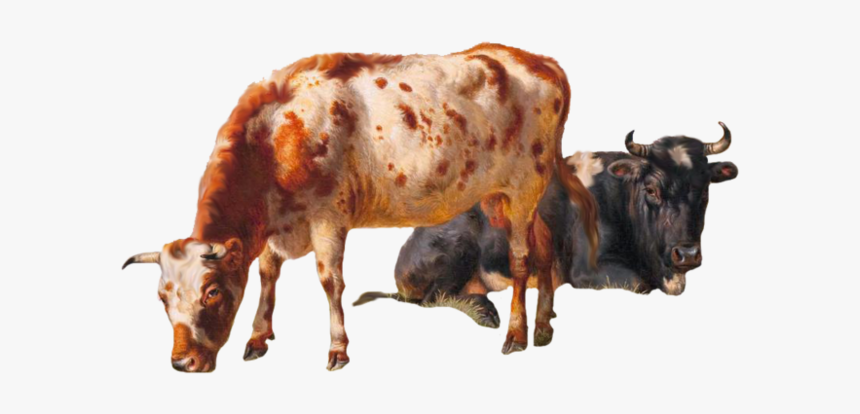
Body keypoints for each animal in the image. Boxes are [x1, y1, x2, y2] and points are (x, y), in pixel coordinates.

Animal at [121, 43, 600, 372]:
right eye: (162, 296)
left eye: (213, 292)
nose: (182, 363)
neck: (275, 140)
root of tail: (535, 60)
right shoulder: (278, 227)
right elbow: (268, 275)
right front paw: (258, 337)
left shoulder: (328, 218)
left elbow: (329, 282)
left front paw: (338, 348)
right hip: (505, 197)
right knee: (544, 248)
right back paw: (543, 327)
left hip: (524, 186)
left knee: (521, 259)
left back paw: (517, 333)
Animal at [354, 123, 738, 347]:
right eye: (652, 189)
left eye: (704, 188)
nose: (686, 254)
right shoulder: (588, 272)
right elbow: (641, 285)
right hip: (457, 250)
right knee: (434, 298)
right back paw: (486, 313)